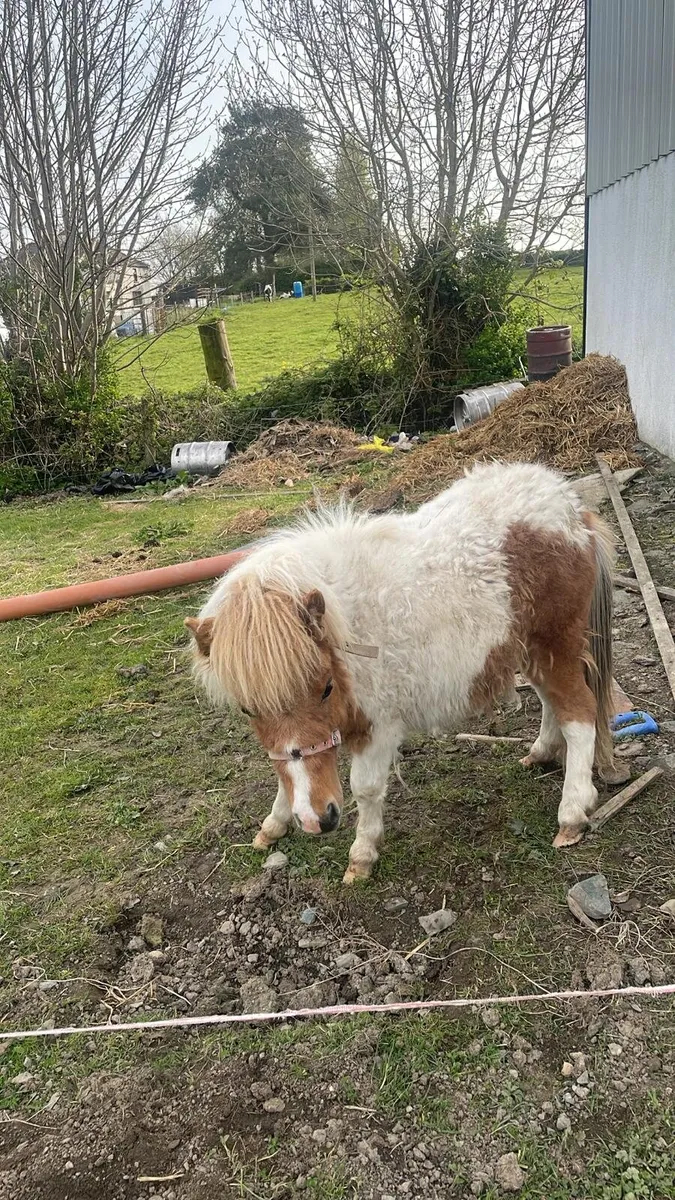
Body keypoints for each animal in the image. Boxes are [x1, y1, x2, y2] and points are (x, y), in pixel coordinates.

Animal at [185, 460, 617, 884]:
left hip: (556, 646)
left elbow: (365, 788)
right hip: (529, 651)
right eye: (247, 709)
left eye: (326, 689)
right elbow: (283, 772)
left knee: (579, 713)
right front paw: (274, 825)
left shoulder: (378, 723)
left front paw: (361, 856)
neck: (348, 624)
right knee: (552, 703)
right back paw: (541, 754)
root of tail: (571, 508)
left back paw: (572, 813)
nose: (316, 821)